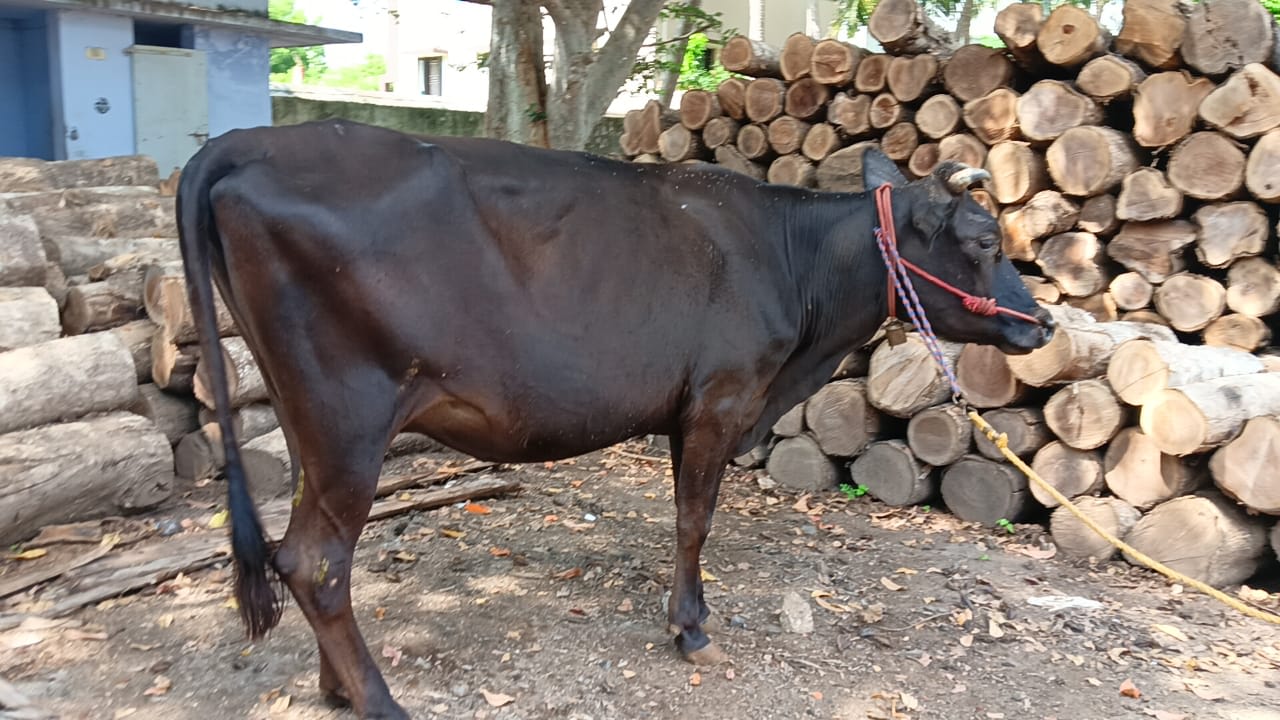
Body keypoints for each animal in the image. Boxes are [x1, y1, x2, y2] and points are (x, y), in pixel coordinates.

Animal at [176, 119, 1054, 719]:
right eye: (984, 240)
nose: (1041, 323)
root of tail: (247, 142)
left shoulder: (685, 408)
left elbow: (685, 516)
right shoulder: (722, 396)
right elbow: (696, 518)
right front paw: (690, 629)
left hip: (306, 421)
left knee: (310, 554)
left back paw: (338, 687)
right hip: (350, 417)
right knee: (315, 561)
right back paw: (381, 701)